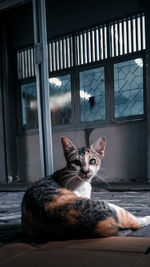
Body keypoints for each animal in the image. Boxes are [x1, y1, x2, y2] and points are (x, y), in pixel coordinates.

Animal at [21, 136, 150, 241]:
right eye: (76, 162)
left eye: (92, 161)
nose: (85, 171)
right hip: (109, 206)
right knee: (134, 222)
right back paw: (146, 218)